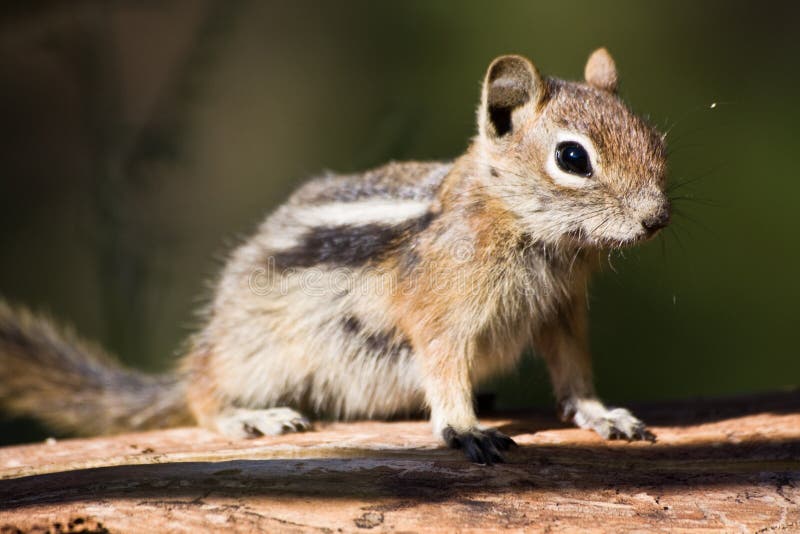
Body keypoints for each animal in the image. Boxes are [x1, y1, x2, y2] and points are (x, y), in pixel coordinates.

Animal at [0, 49, 668, 464]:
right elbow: (443, 362)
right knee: (201, 390)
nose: (656, 218)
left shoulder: (562, 310)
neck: (533, 235)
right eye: (572, 158)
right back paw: (250, 417)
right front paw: (463, 429)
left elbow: (573, 369)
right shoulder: (442, 311)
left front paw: (601, 414)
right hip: (256, 352)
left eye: (652, 137)